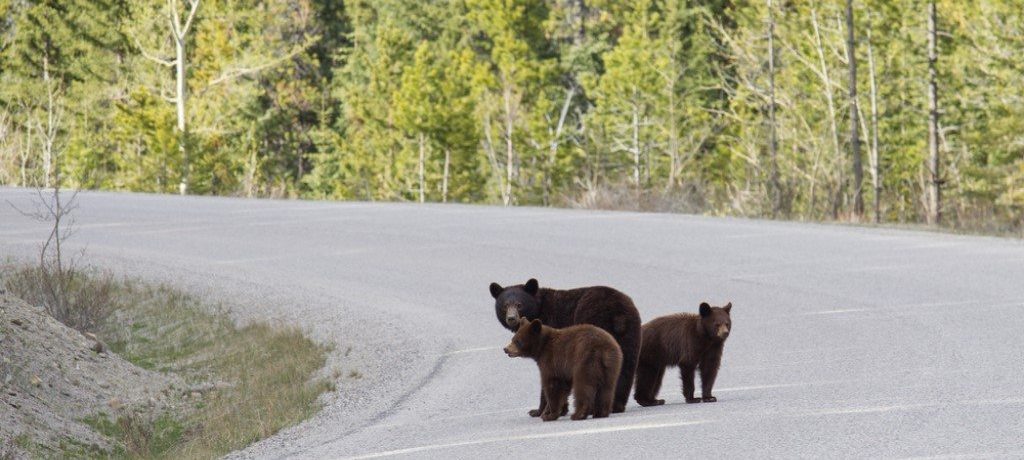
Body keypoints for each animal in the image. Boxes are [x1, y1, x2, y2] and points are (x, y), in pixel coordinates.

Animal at [487, 278, 638, 413]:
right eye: (505, 305)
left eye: (519, 304)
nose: (511, 318)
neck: (539, 309)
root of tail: (618, 316)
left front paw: (540, 410)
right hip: (629, 334)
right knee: (625, 368)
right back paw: (616, 405)